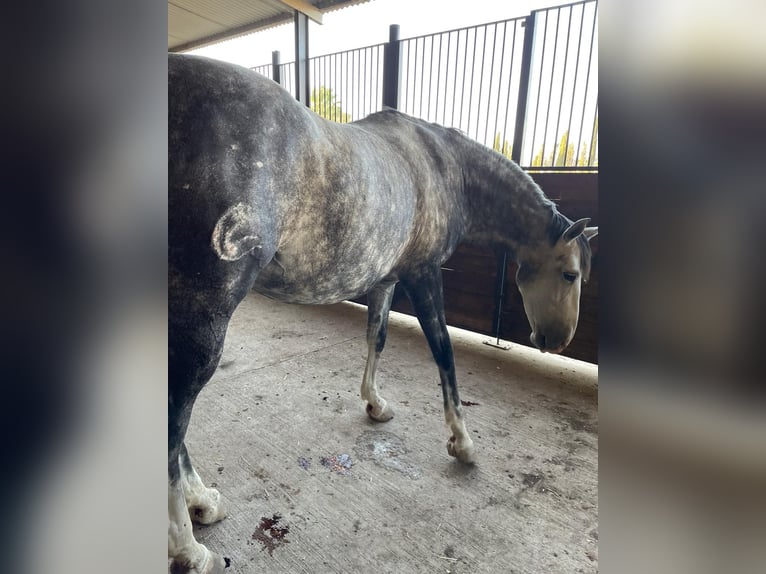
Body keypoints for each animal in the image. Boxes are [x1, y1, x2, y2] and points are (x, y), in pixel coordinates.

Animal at [168, 53, 600, 572]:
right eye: (571, 274)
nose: (558, 340)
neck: (445, 167)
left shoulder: (388, 279)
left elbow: (376, 336)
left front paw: (375, 404)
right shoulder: (424, 273)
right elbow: (444, 352)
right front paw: (462, 442)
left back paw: (203, 502)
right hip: (202, 320)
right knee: (174, 420)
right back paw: (190, 549)